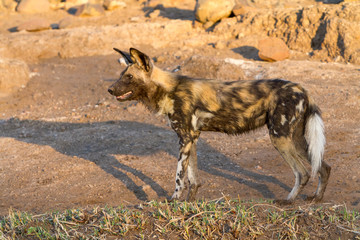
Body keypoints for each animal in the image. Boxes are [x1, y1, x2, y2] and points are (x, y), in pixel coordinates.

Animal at [108, 47, 330, 203]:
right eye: (121, 75)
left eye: (129, 77)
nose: (110, 90)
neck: (168, 89)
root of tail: (302, 89)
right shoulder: (191, 138)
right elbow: (193, 179)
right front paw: (189, 203)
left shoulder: (185, 139)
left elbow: (179, 177)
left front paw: (173, 201)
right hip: (296, 139)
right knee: (323, 167)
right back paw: (317, 198)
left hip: (279, 138)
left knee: (302, 173)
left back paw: (288, 201)